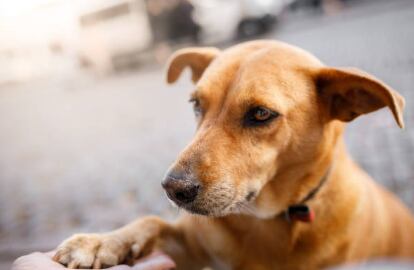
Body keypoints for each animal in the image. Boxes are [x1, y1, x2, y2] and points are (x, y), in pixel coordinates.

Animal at [53, 40, 414, 270]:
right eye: (196, 104)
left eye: (261, 114)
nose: (173, 189)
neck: (271, 221)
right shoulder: (190, 248)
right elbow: (151, 222)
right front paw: (101, 242)